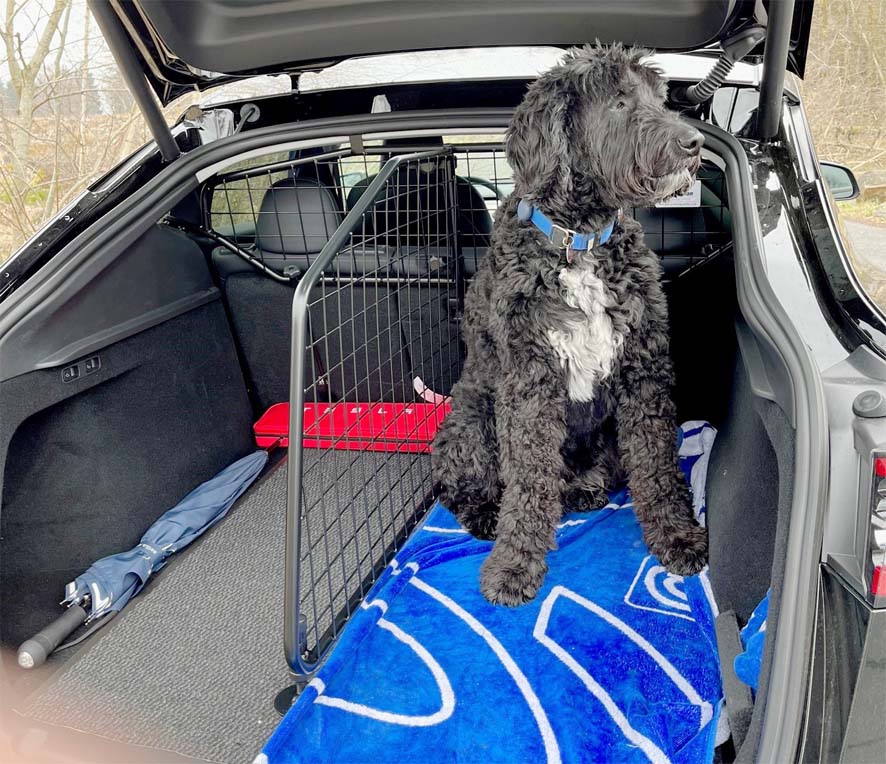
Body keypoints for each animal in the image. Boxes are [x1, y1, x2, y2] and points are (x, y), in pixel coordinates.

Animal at [434, 46, 712, 608]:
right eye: (619, 100)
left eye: (659, 98)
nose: (693, 142)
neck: (578, 241)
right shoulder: (529, 382)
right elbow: (527, 480)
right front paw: (515, 563)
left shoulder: (643, 372)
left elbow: (657, 466)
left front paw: (675, 536)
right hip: (470, 420)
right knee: (464, 486)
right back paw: (486, 515)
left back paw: (584, 488)